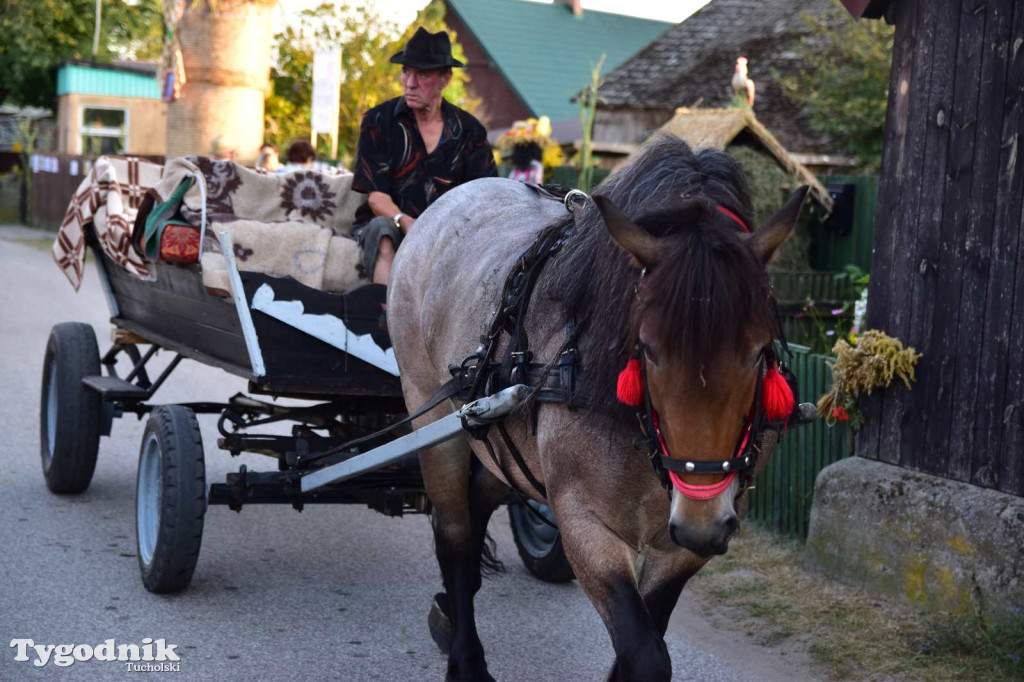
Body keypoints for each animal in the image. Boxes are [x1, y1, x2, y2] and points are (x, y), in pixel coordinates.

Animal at [385, 135, 806, 675]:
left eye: (759, 350)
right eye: (647, 348)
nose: (700, 521)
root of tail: (451, 199)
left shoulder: (685, 549)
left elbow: (645, 641)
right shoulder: (586, 526)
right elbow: (645, 654)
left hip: (505, 446)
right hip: (434, 419)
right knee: (455, 535)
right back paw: (465, 657)